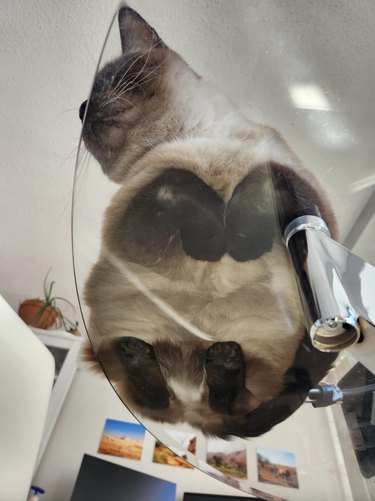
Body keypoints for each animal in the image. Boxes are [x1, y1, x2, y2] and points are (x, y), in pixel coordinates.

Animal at [79, 4, 338, 438]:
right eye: (83, 107)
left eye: (107, 81)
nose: (83, 110)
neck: (194, 135)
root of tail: (193, 415)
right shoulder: (136, 217)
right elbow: (177, 179)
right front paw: (214, 243)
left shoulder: (297, 188)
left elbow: (265, 177)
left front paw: (240, 241)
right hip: (115, 337)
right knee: (157, 398)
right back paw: (148, 358)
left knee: (234, 406)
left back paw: (223, 361)